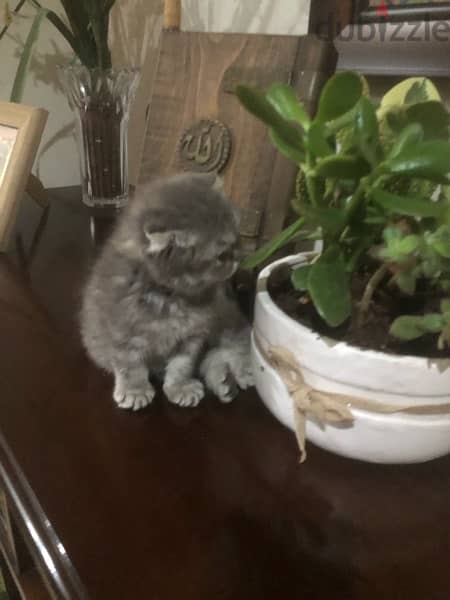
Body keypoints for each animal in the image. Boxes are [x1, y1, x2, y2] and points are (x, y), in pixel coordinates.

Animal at [78, 171, 251, 410]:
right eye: (221, 255)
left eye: (238, 236)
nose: (240, 257)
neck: (172, 298)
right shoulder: (122, 333)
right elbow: (130, 365)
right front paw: (135, 390)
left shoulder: (193, 336)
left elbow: (182, 365)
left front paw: (180, 386)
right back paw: (224, 382)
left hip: (224, 319)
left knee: (234, 341)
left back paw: (237, 374)